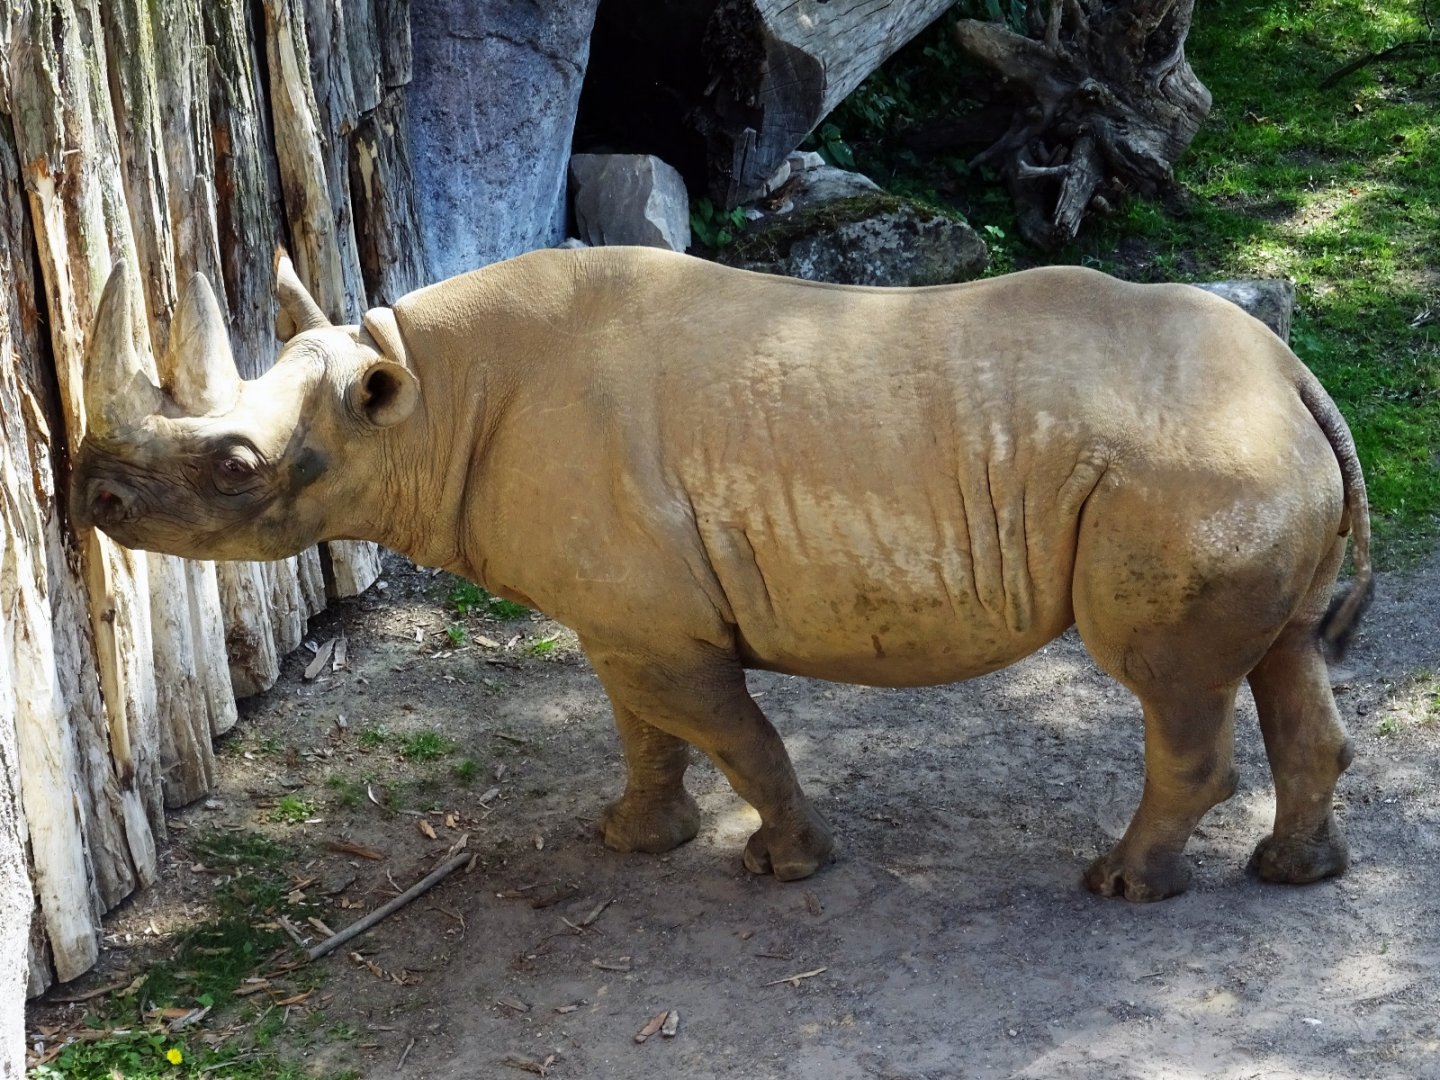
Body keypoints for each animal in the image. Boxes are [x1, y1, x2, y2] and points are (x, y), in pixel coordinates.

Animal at [72, 247, 1372, 901]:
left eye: (237, 468)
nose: (91, 496)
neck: (422, 398)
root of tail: (1294, 374)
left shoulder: (658, 626)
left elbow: (735, 734)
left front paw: (784, 865)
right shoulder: (621, 617)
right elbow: (643, 729)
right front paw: (631, 841)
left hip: (1189, 469)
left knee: (1171, 684)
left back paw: (1119, 887)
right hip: (1244, 456)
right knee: (1283, 658)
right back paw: (1294, 875)